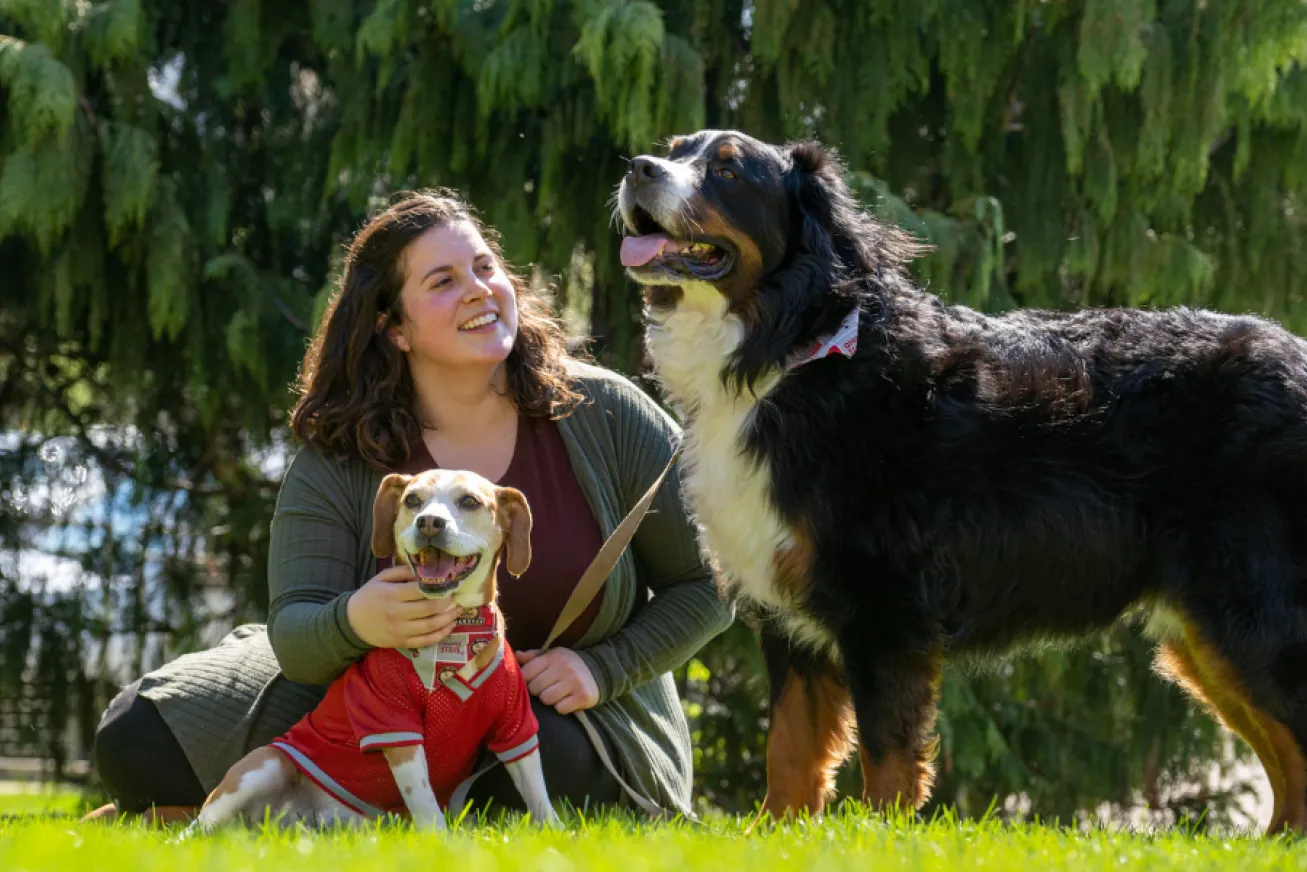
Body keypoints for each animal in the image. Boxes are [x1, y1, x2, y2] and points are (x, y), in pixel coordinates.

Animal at [190, 470, 562, 831]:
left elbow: (537, 790)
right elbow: (425, 801)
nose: (429, 522)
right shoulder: (393, 726)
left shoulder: (515, 722)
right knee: (199, 825)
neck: (458, 633)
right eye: (412, 500)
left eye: (469, 501)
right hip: (264, 766)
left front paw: (556, 833)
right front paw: (441, 841)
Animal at [616, 128, 1307, 831]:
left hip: (1249, 611)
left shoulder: (886, 608)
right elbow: (790, 751)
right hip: (1209, 633)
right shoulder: (787, 611)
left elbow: (887, 754)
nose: (638, 169)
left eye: (728, 171)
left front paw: (879, 837)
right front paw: (782, 836)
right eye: (673, 149)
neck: (791, 350)